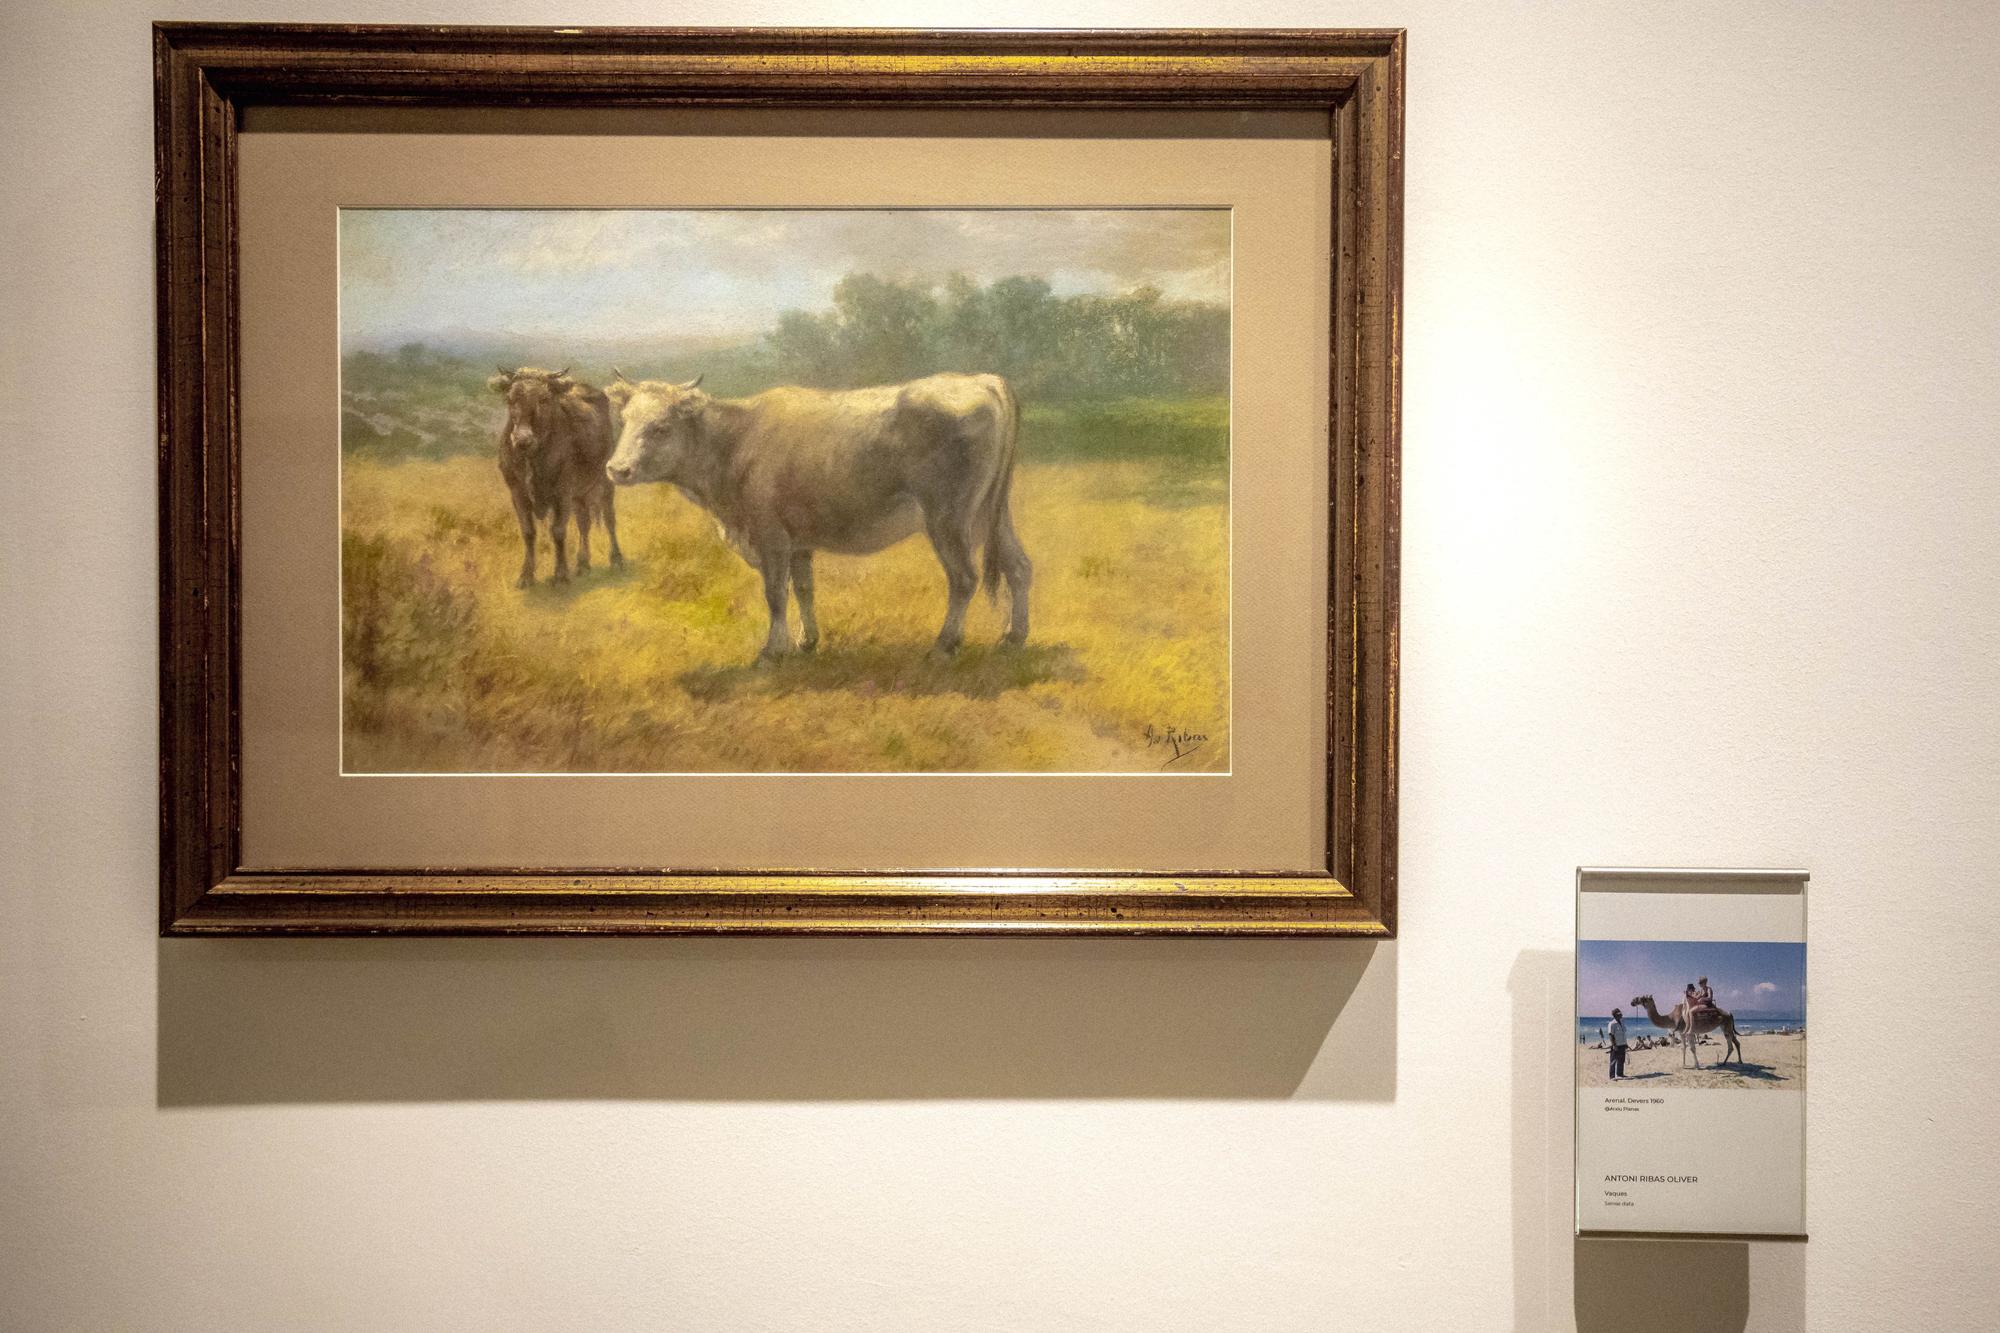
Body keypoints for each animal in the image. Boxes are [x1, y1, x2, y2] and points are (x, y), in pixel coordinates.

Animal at [482, 368, 616, 588]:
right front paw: (526, 576)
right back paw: (583, 564)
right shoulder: (517, 493)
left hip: (605, 482)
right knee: (584, 523)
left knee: (609, 519)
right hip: (579, 494)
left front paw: (560, 576)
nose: (522, 439)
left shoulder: (562, 493)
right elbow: (528, 531)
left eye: (544, 399)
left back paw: (617, 560)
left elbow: (558, 531)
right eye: (510, 399)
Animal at [600, 368, 1032, 660]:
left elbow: (775, 593)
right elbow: (805, 589)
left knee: (964, 578)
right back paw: (1014, 636)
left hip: (949, 518)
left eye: (660, 427)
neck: (736, 440)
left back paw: (944, 645)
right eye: (625, 421)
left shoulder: (771, 536)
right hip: (993, 514)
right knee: (1019, 567)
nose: (617, 469)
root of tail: (981, 380)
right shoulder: (798, 541)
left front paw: (772, 651)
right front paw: (806, 641)